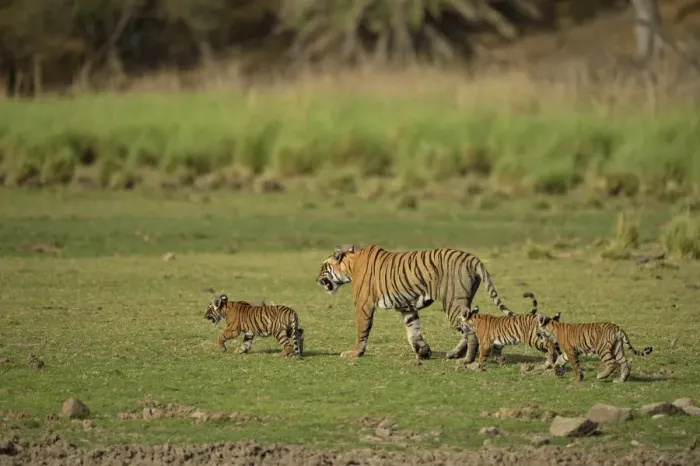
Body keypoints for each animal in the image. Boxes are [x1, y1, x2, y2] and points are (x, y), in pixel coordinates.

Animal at [316, 244, 515, 361]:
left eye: (323, 266)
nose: (316, 279)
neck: (350, 265)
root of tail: (473, 258)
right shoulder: (407, 307)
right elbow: (413, 331)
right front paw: (423, 351)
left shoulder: (363, 305)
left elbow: (361, 330)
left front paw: (355, 352)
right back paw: (453, 354)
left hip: (453, 302)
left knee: (469, 332)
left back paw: (465, 359)